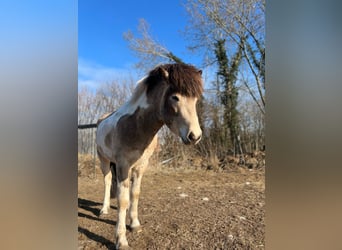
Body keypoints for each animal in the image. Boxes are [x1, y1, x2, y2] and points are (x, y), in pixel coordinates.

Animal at [95, 62, 203, 248]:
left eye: (196, 99)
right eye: (175, 97)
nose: (195, 136)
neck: (136, 125)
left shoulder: (140, 166)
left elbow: (135, 194)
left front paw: (134, 224)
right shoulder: (123, 165)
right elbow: (123, 199)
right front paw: (121, 239)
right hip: (104, 160)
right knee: (108, 181)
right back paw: (104, 209)